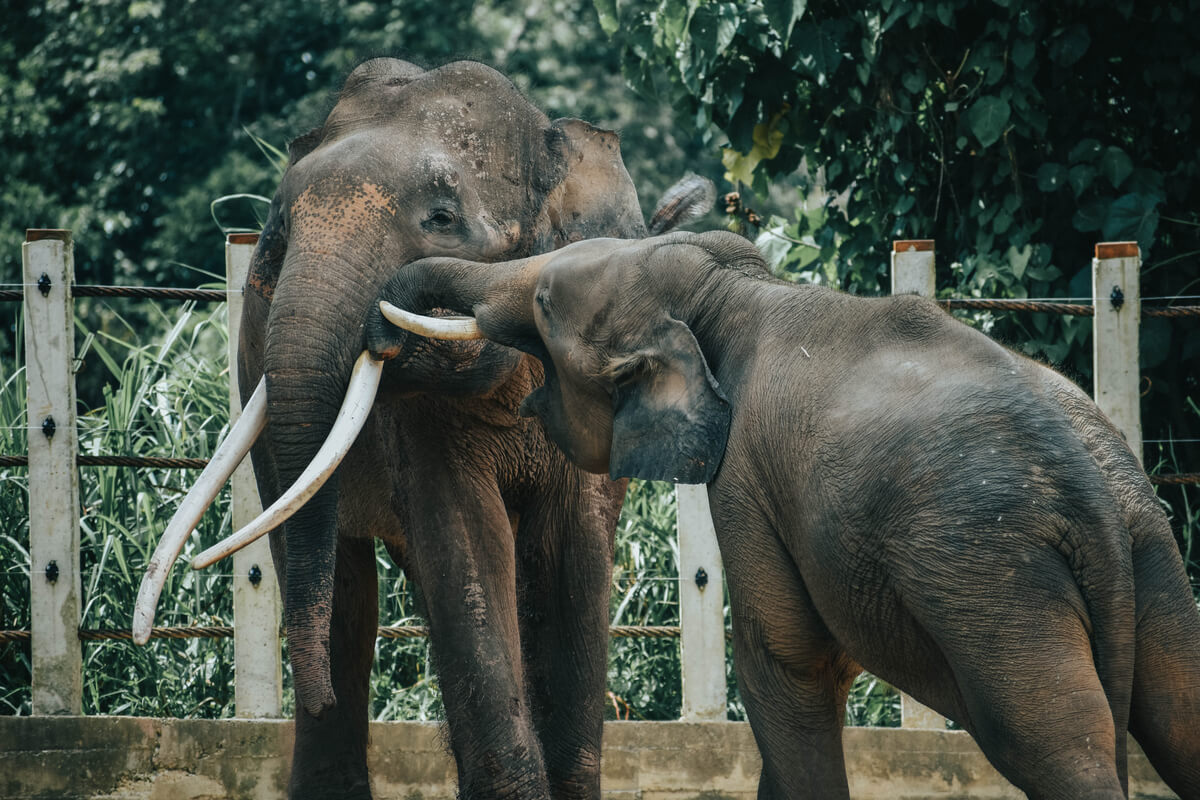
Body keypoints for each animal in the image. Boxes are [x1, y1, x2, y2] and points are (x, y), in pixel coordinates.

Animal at [364, 230, 1200, 800]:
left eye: (541, 306)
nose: (376, 336)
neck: (731, 290)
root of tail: (1093, 495)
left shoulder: (746, 479)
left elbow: (787, 659)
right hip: (1150, 550)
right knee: (1178, 713)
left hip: (997, 580)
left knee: (1053, 745)